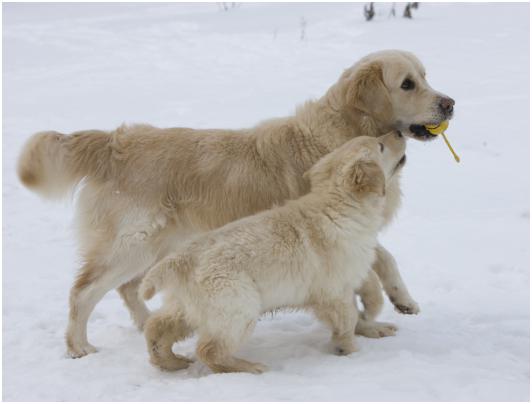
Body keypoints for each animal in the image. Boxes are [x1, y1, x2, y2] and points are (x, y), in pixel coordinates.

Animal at [139, 134, 406, 374]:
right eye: (380, 145)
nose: (399, 133)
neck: (339, 206)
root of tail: (181, 258)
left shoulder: (346, 277)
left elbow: (363, 301)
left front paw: (375, 324)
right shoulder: (334, 289)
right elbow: (348, 319)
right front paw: (351, 351)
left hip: (187, 306)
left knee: (157, 326)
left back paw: (169, 361)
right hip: (237, 305)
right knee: (209, 349)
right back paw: (249, 367)